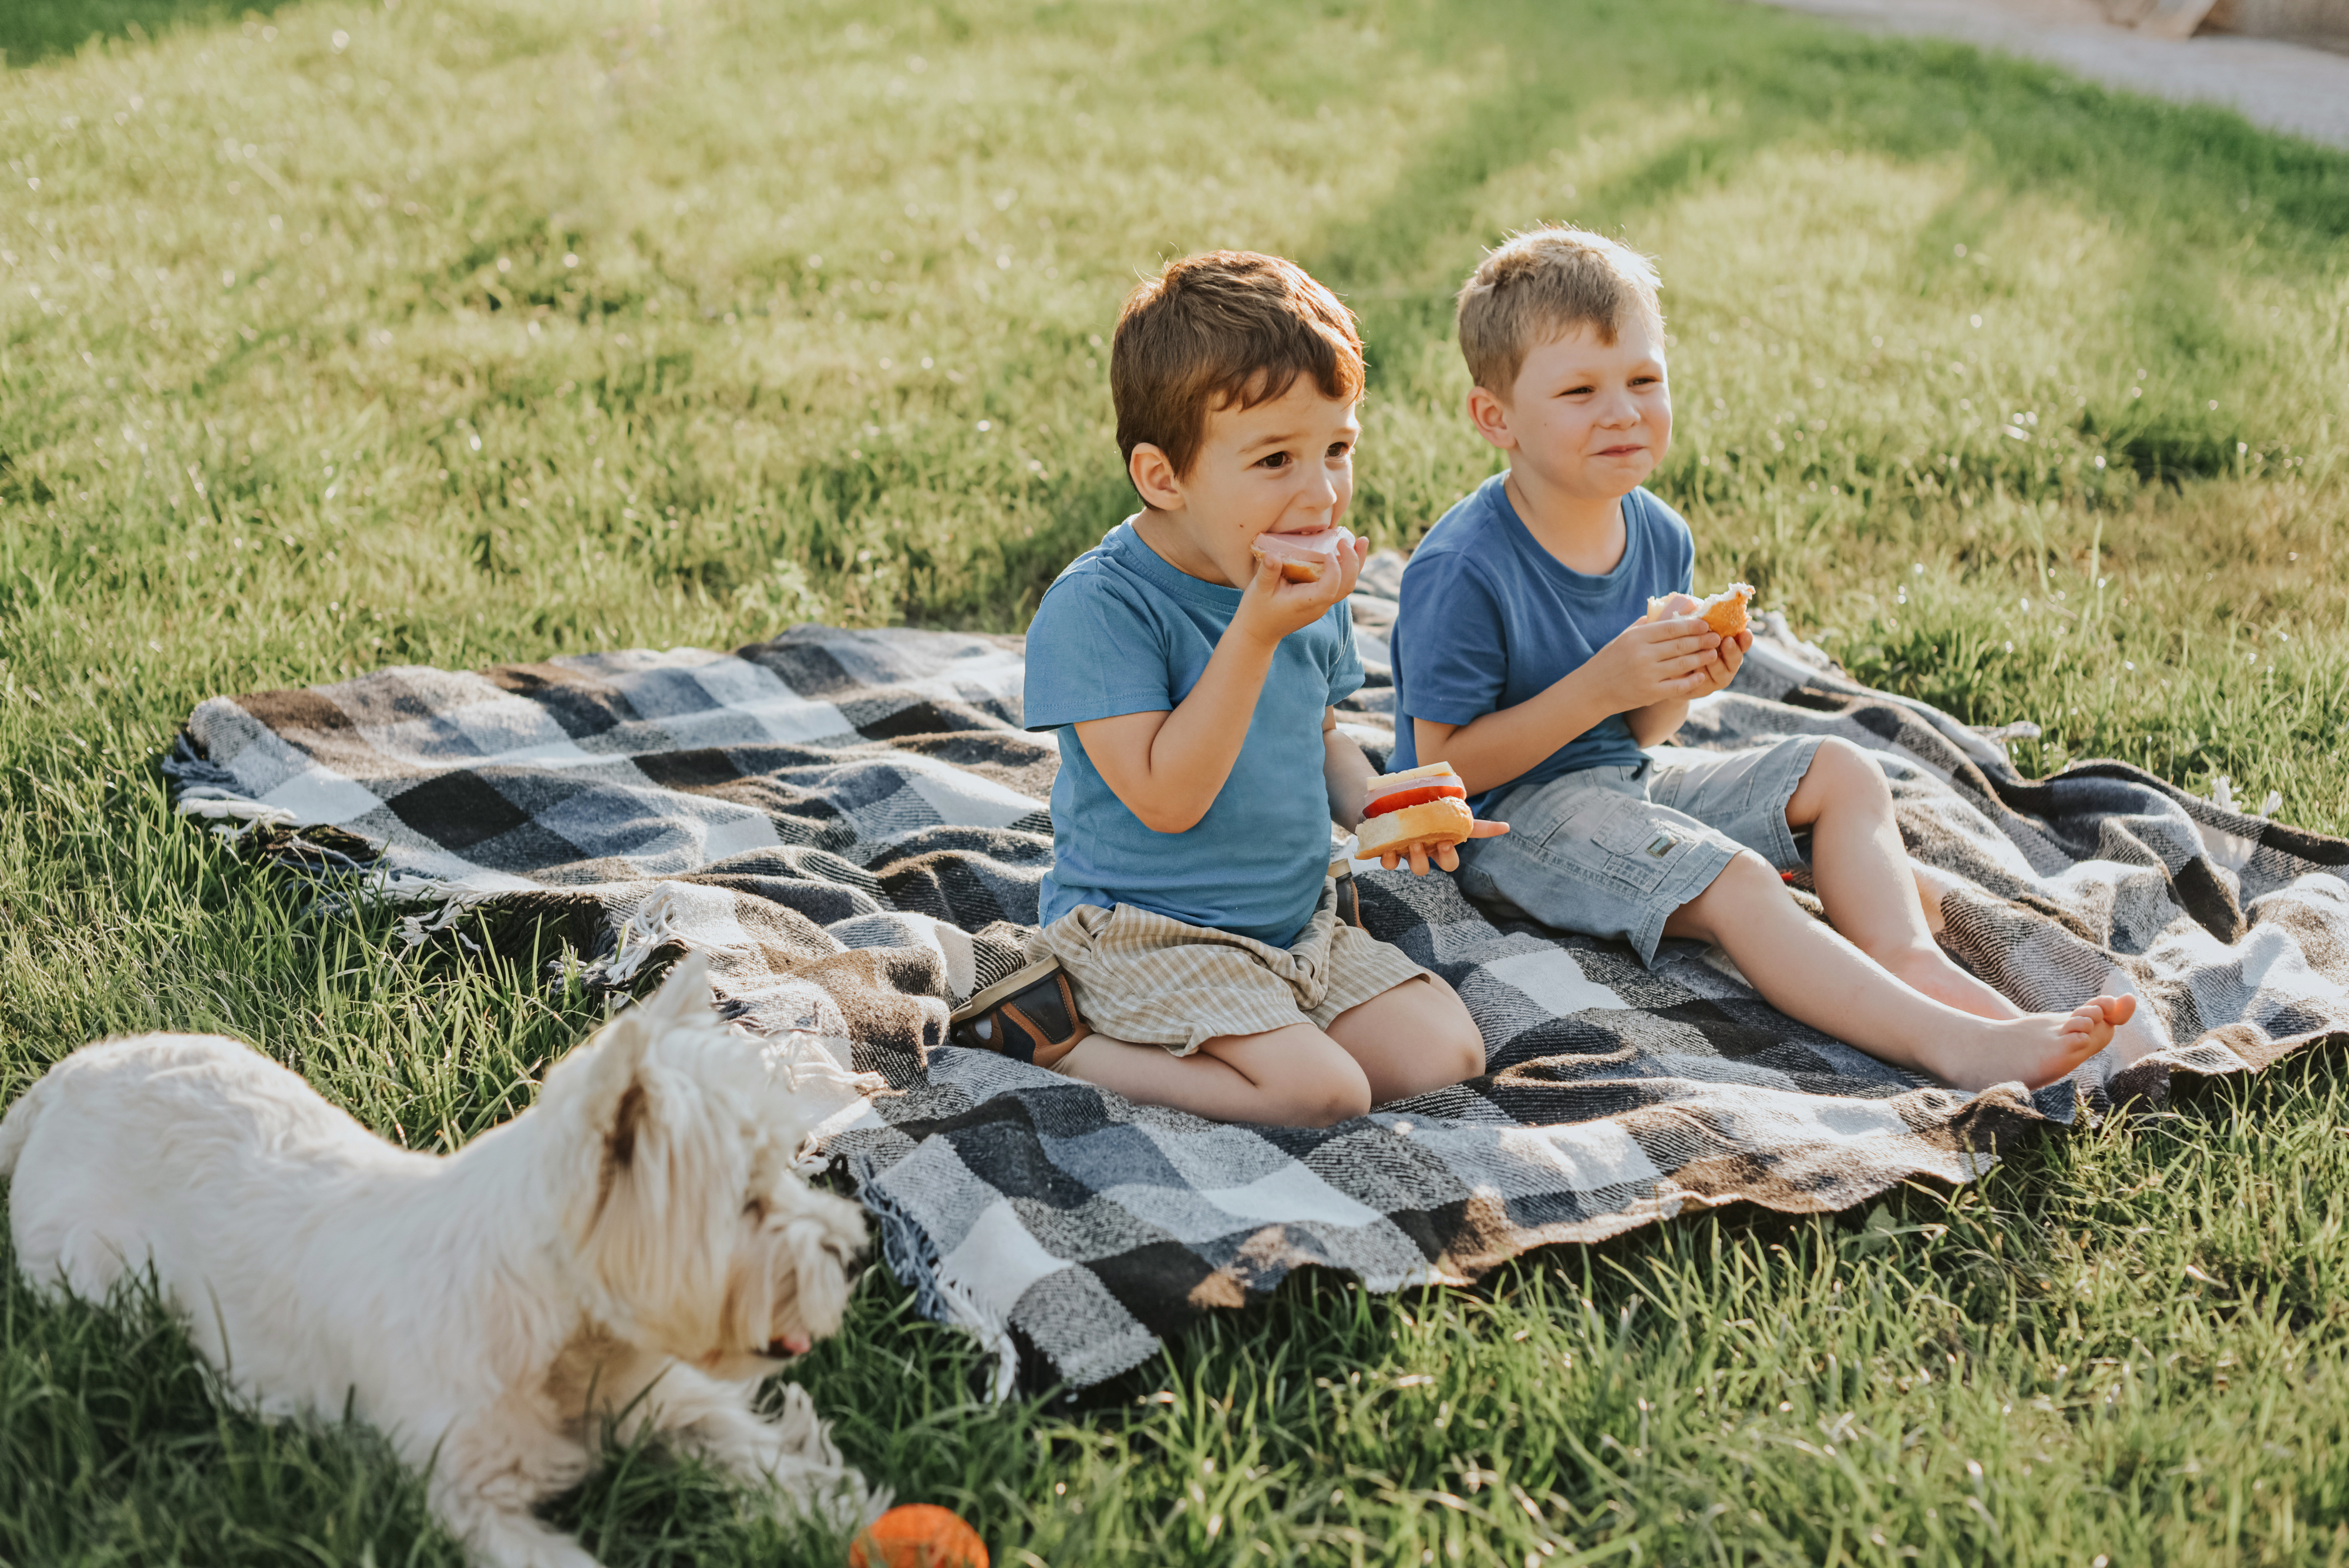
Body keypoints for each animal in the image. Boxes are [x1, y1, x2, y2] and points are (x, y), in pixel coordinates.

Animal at [0, 948, 883, 1559]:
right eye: (744, 1202)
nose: (854, 1257)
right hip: (92, 1277)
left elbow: (770, 1456)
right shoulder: (467, 1496)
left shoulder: (675, 1403)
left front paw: (847, 1517)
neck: (565, 1342)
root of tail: (59, 1082)